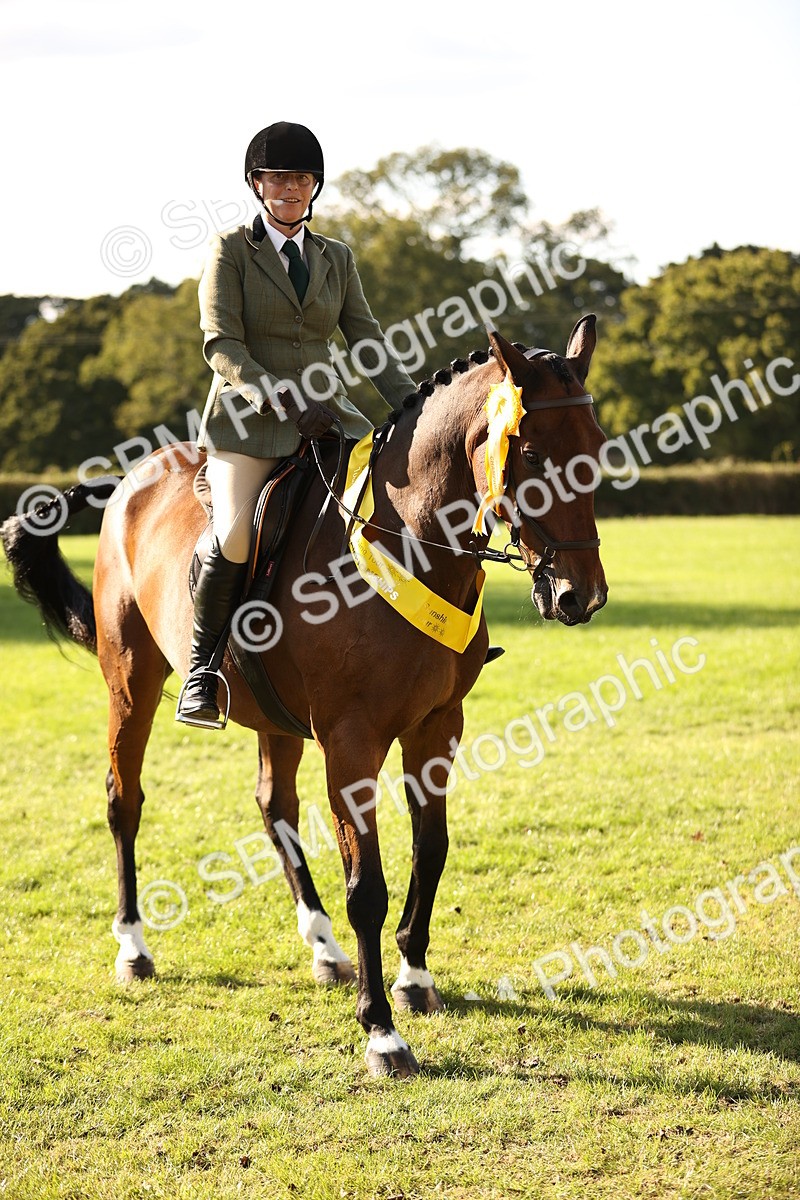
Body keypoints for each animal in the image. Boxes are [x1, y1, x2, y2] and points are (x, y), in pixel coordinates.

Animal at [2, 319, 607, 1078]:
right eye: (529, 451)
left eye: (597, 444)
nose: (580, 596)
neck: (409, 546)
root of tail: (134, 479)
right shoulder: (351, 741)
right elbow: (367, 885)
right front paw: (382, 1033)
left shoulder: (437, 727)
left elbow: (431, 850)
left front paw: (414, 980)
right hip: (131, 684)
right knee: (124, 800)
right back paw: (135, 948)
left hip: (275, 716)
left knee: (274, 806)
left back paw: (322, 948)